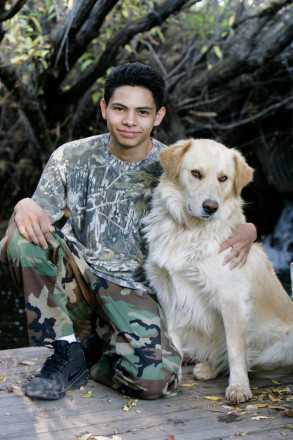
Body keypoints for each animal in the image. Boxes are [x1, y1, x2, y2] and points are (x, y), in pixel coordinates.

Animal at [143, 139, 292, 404]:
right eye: (195, 174)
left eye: (223, 178)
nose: (211, 207)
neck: (190, 231)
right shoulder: (168, 294)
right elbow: (173, 340)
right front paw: (173, 374)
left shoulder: (231, 298)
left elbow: (236, 351)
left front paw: (239, 388)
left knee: (244, 359)